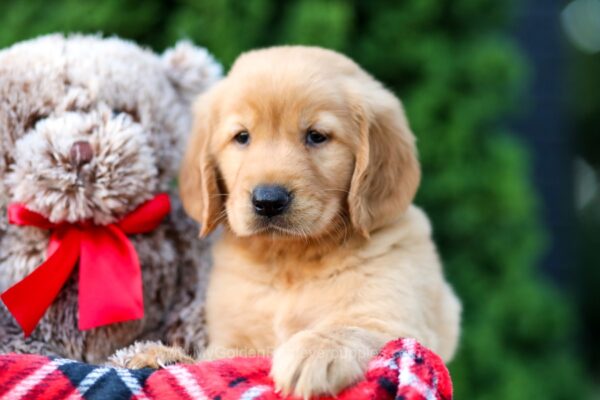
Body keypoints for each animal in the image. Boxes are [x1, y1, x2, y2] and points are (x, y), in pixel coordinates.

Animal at [123, 46, 460, 396]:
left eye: (316, 136)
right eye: (242, 137)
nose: (268, 201)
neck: (290, 260)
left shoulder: (397, 321)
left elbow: (355, 328)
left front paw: (315, 351)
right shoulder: (233, 339)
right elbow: (215, 359)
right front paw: (163, 355)